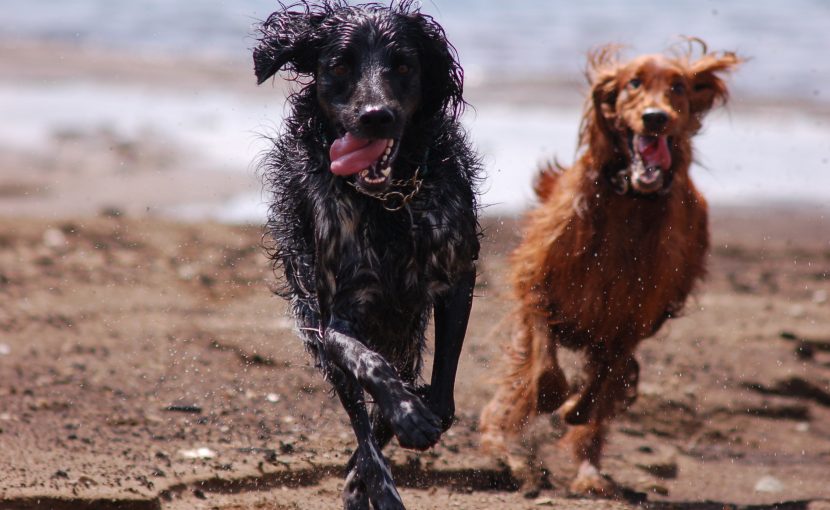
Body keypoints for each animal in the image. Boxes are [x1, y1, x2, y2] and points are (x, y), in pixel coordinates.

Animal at [254, 1, 480, 508]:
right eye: (340, 66)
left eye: (403, 65)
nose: (376, 116)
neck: (388, 202)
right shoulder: (333, 320)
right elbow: (368, 364)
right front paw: (406, 415)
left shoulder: (458, 278)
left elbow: (441, 397)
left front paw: (416, 413)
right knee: (360, 418)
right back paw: (374, 483)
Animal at [480, 41, 740, 496]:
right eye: (633, 83)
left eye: (678, 86)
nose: (656, 117)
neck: (629, 201)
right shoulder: (536, 283)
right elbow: (545, 365)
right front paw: (550, 398)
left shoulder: (633, 319)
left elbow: (599, 385)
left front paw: (575, 408)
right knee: (518, 387)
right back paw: (505, 448)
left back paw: (588, 472)